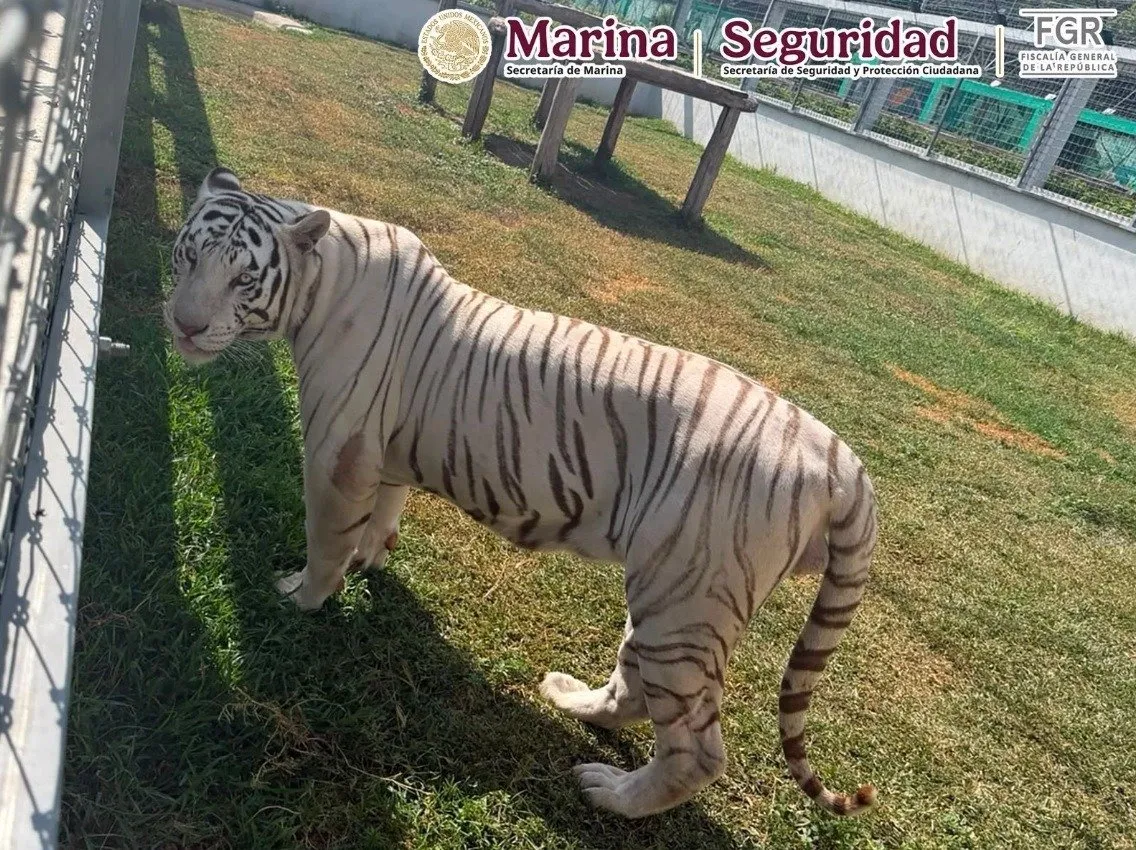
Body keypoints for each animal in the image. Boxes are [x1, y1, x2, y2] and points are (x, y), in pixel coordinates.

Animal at [165, 166, 880, 820]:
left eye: (243, 279)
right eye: (189, 255)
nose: (184, 326)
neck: (322, 279)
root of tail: (841, 459)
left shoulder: (337, 454)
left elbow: (325, 540)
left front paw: (302, 596)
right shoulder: (385, 451)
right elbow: (384, 512)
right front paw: (373, 558)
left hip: (688, 599)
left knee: (698, 750)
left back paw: (610, 793)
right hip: (668, 596)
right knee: (636, 688)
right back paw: (572, 700)